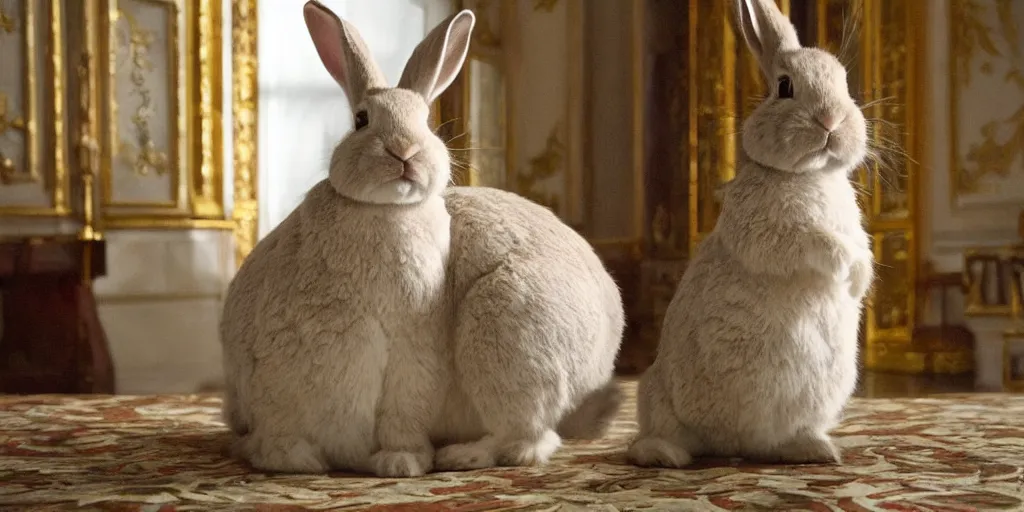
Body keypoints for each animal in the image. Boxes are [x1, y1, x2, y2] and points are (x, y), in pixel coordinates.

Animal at [221, 0, 624, 478]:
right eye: (361, 120)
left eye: (427, 122)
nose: (404, 151)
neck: (387, 212)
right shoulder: (282, 368)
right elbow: (283, 422)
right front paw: (291, 460)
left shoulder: (414, 355)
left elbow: (405, 412)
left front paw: (402, 463)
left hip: (509, 335)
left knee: (526, 439)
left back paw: (461, 455)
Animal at [626, 0, 874, 468]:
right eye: (784, 87)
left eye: (846, 84)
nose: (830, 119)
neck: (810, 174)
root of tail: (731, 447)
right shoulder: (766, 229)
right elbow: (810, 242)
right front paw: (843, 267)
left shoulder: (855, 228)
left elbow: (863, 250)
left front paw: (858, 280)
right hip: (656, 393)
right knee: (660, 437)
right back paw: (666, 455)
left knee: (773, 442)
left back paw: (815, 450)